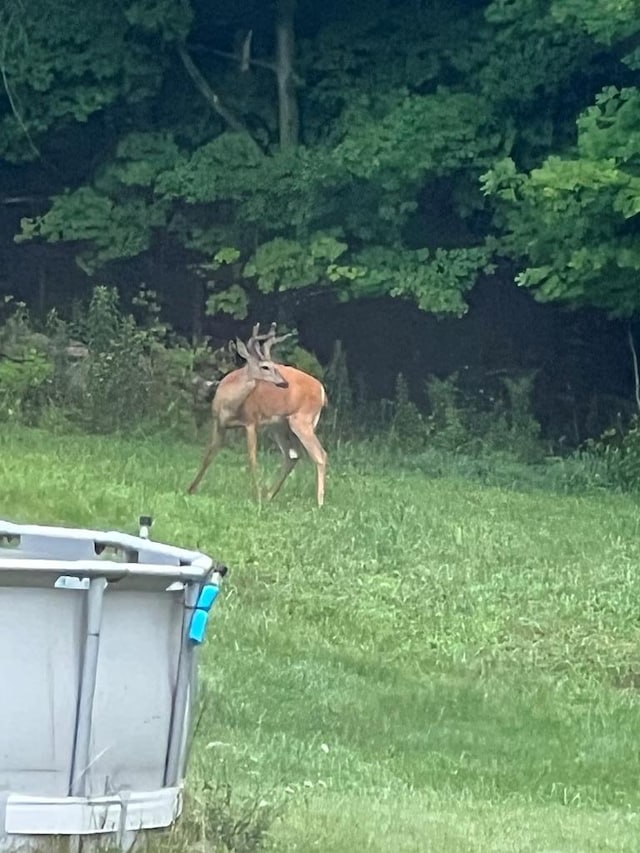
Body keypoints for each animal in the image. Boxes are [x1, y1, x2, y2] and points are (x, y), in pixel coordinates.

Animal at [186, 322, 328, 506]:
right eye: (265, 366)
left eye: (273, 365)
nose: (284, 382)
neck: (229, 405)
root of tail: (322, 390)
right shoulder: (218, 422)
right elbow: (208, 455)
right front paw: (191, 489)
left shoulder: (251, 421)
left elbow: (252, 458)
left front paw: (257, 495)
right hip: (280, 426)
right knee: (292, 455)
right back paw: (270, 496)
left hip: (303, 419)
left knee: (319, 454)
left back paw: (319, 502)